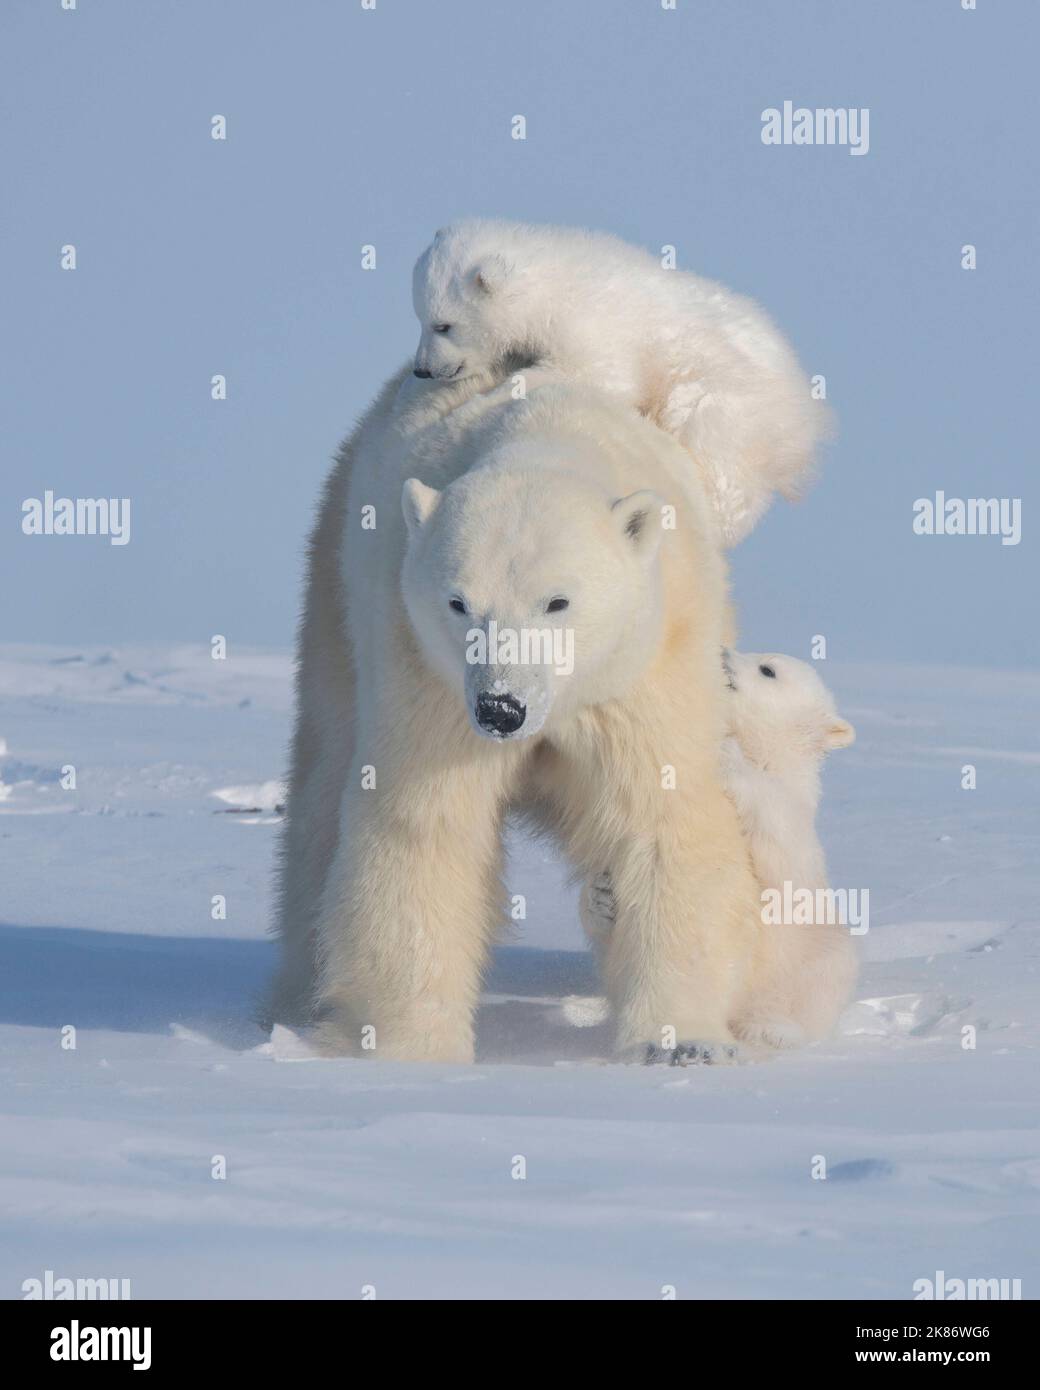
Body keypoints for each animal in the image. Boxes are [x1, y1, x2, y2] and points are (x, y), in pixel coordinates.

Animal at [269, 364, 761, 1056]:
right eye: (458, 602)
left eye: (557, 602)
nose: (502, 708)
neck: (543, 434)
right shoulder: (425, 671)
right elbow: (426, 823)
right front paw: (408, 1046)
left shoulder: (642, 665)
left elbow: (660, 812)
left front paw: (680, 1040)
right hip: (336, 590)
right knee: (323, 777)